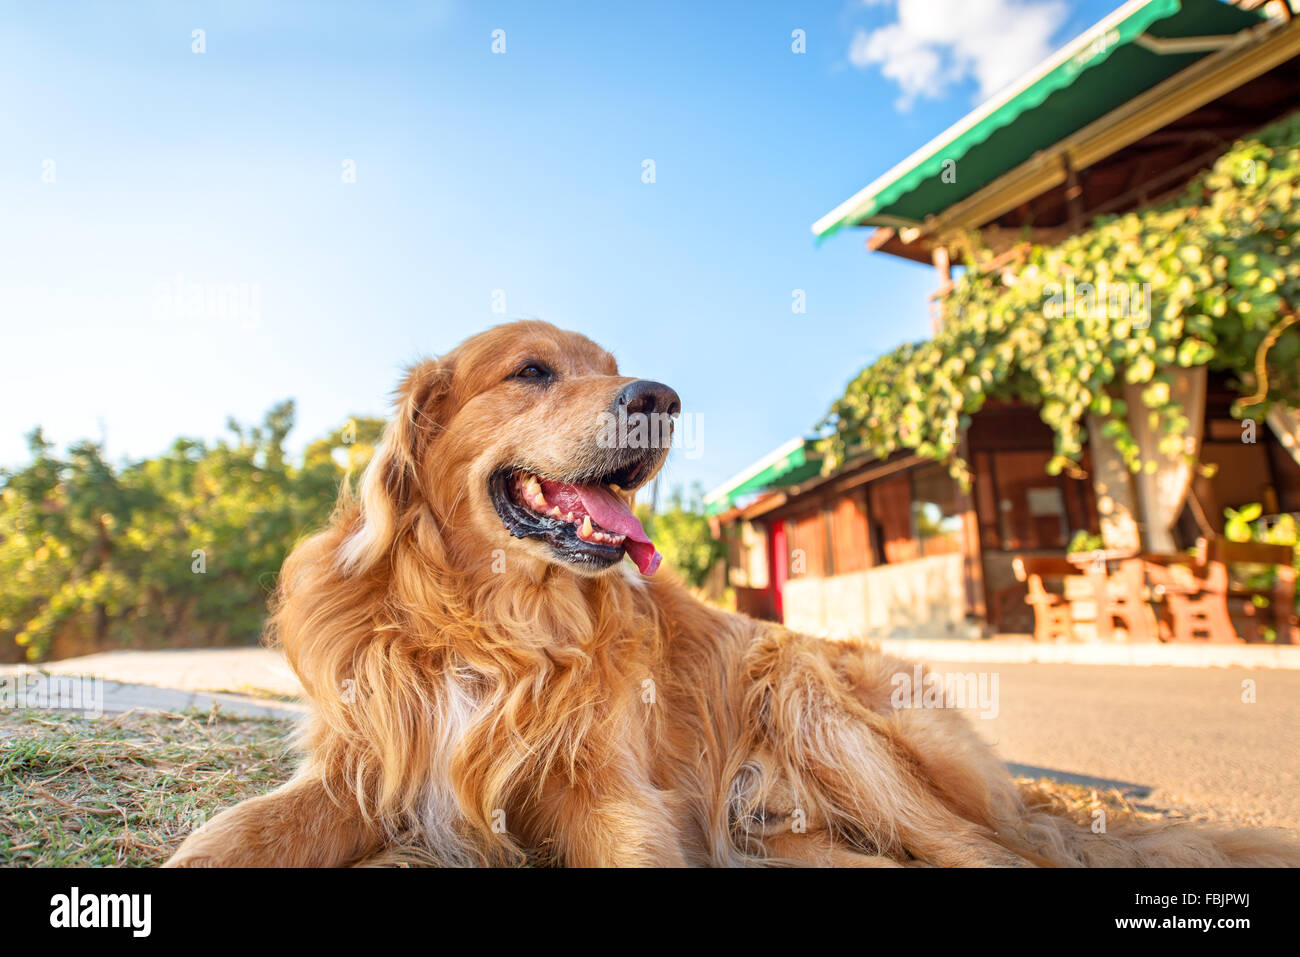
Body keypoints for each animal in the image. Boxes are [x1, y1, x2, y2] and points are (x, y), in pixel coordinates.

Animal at [167, 321, 1300, 868]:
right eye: (531, 370)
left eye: (614, 364)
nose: (661, 398)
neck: (493, 623)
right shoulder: (363, 769)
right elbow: (230, 836)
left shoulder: (609, 797)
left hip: (809, 692)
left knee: (997, 858)